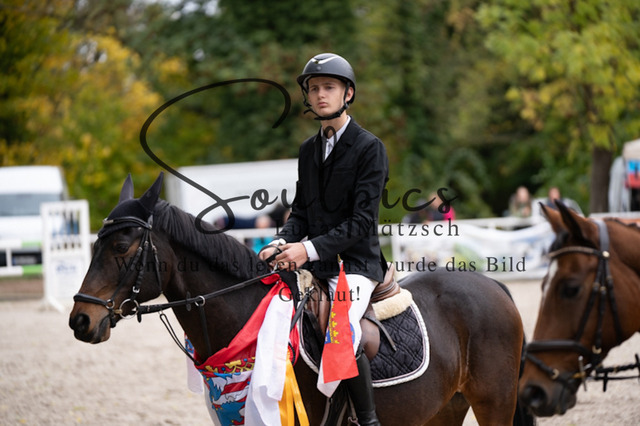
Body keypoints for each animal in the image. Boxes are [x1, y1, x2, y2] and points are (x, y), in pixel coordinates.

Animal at [69, 173, 531, 425]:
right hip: (445, 407)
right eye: (96, 243)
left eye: (122, 246)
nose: (80, 320)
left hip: (494, 402)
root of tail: (494, 286)